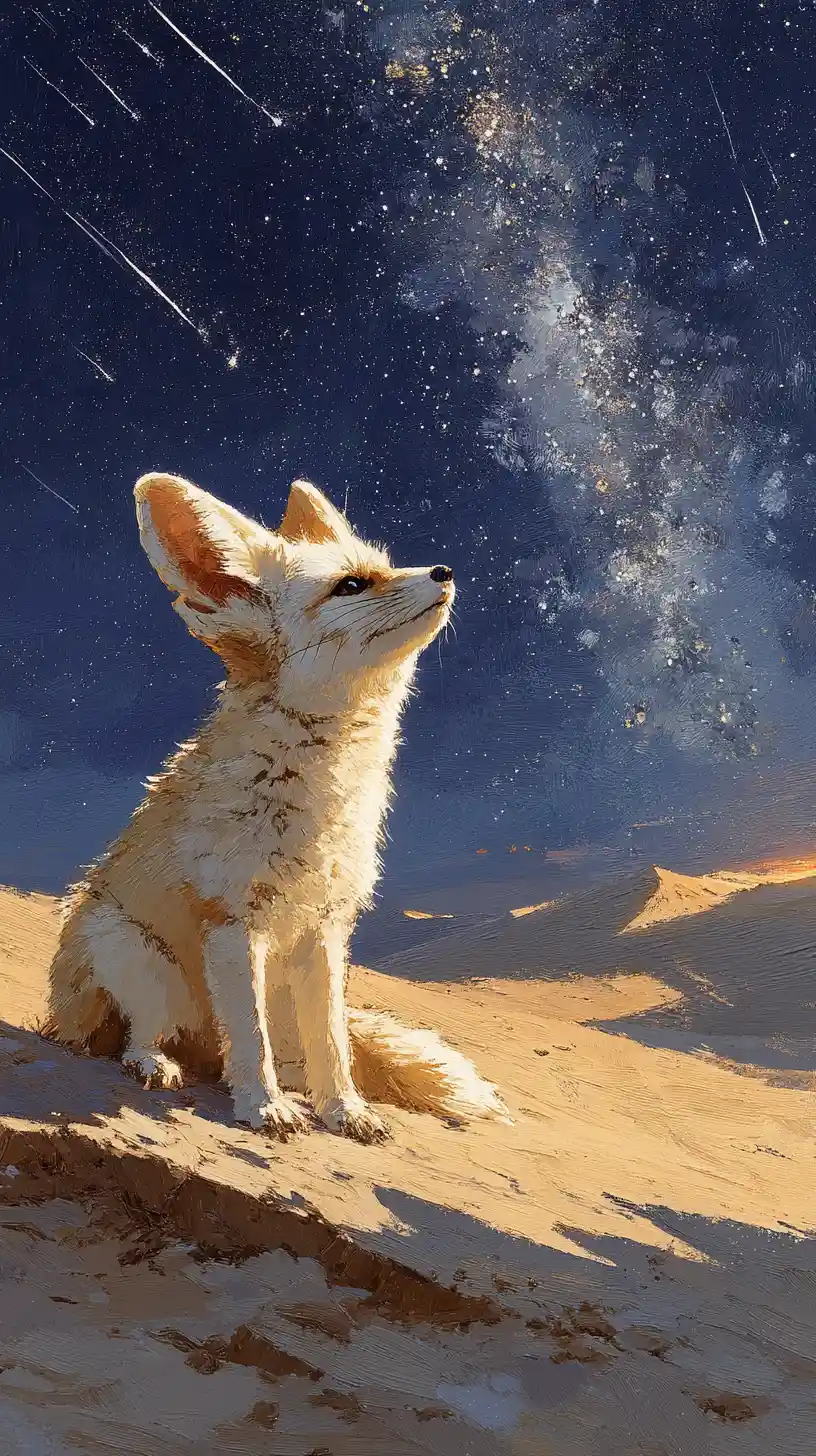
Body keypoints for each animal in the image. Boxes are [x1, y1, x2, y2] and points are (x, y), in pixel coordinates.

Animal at [43, 472, 509, 1143]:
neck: (320, 798)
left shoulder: (325, 929)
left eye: (386, 563)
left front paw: (344, 1110)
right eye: (351, 585)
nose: (444, 570)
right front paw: (263, 1108)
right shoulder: (233, 922)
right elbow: (250, 1037)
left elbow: (331, 1044)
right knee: (147, 1037)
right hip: (132, 955)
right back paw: (157, 1064)